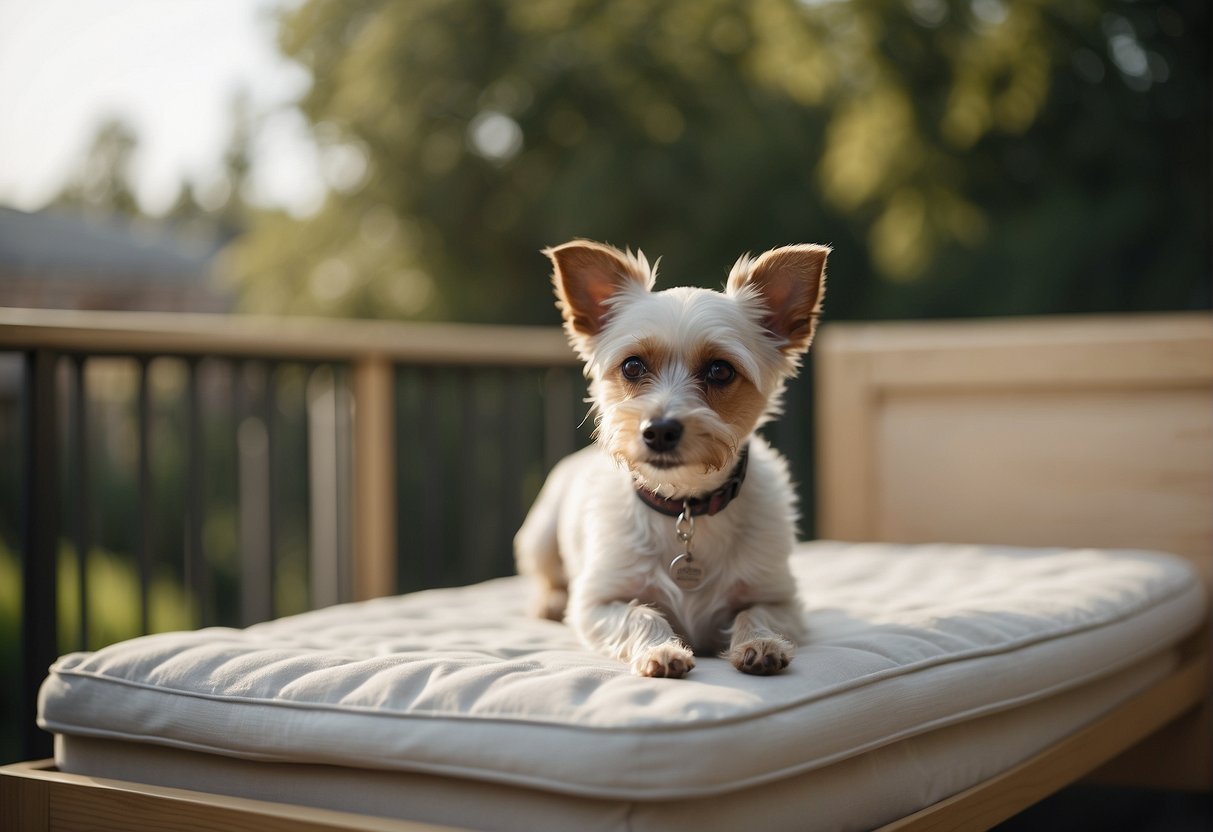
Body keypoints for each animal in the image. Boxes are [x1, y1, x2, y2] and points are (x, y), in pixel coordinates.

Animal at [516, 240, 829, 679]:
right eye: (632, 366)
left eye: (720, 370)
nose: (659, 430)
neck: (684, 504)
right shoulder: (597, 603)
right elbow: (641, 613)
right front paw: (661, 650)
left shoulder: (782, 599)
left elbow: (754, 613)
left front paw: (760, 643)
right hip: (540, 536)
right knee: (547, 575)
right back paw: (548, 600)